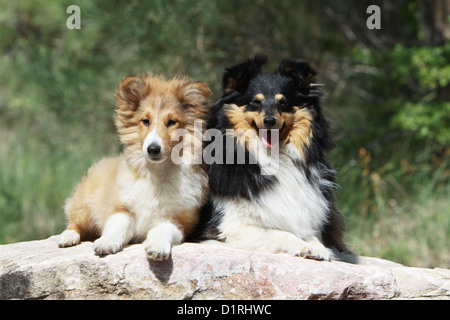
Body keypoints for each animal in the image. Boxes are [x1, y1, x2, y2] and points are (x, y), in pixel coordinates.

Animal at [57, 74, 210, 258]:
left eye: (172, 122)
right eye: (145, 121)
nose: (153, 149)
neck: (156, 173)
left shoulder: (180, 221)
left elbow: (163, 229)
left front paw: (157, 247)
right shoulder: (122, 207)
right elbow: (117, 226)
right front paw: (106, 243)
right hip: (84, 206)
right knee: (74, 222)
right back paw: (67, 237)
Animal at [197, 56, 348, 262]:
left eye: (283, 102)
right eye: (255, 102)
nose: (269, 121)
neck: (274, 157)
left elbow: (310, 234)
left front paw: (319, 248)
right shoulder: (228, 224)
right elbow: (278, 232)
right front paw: (303, 247)